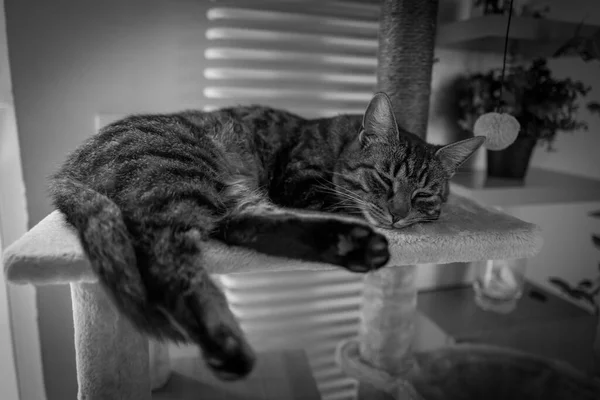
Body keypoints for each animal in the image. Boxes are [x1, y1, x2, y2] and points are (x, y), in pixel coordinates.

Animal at [49, 91, 486, 382]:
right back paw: (225, 344)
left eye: (423, 194)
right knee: (167, 259)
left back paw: (351, 244)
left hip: (225, 192)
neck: (338, 141)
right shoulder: (299, 183)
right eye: (384, 178)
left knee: (242, 226)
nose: (398, 215)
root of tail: (66, 170)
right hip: (177, 182)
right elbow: (343, 203)